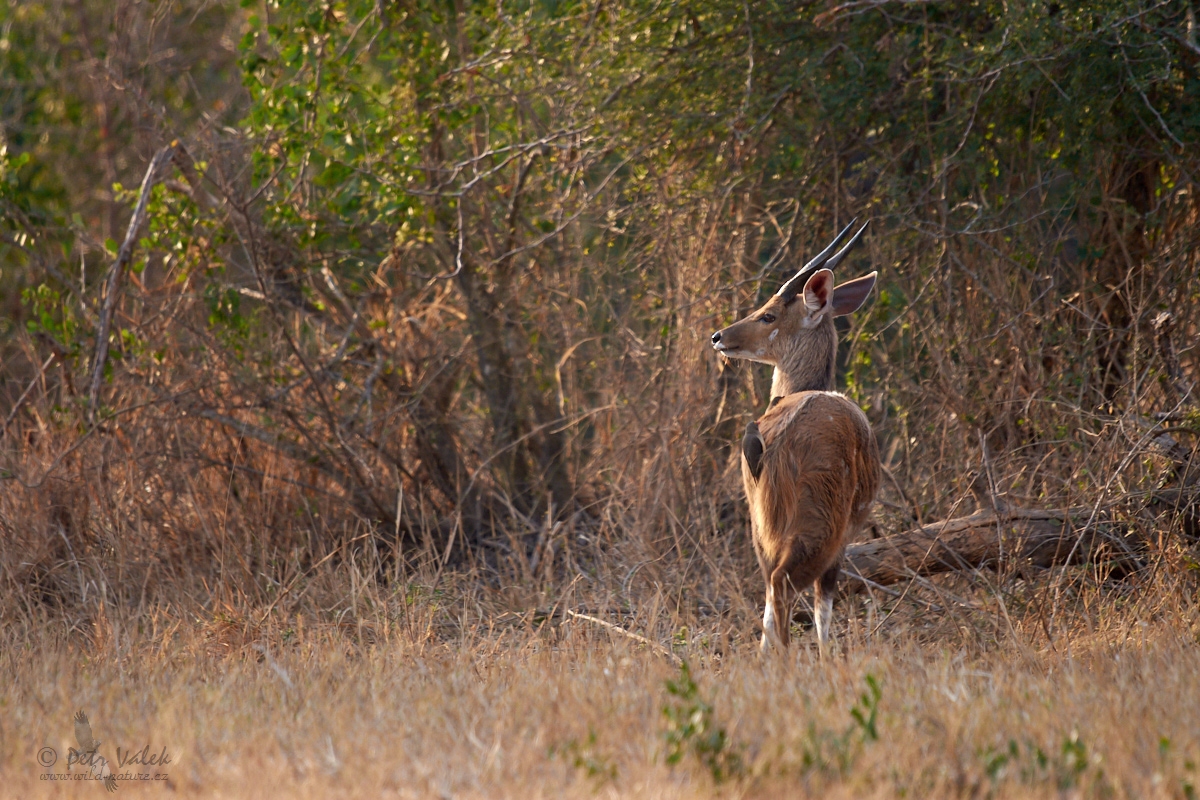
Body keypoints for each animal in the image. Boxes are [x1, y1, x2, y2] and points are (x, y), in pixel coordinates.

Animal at [705, 220, 878, 657]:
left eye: (769, 315)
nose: (718, 336)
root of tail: (766, 446)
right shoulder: (843, 540)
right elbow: (824, 609)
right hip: (817, 528)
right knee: (784, 586)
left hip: (763, 530)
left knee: (770, 590)